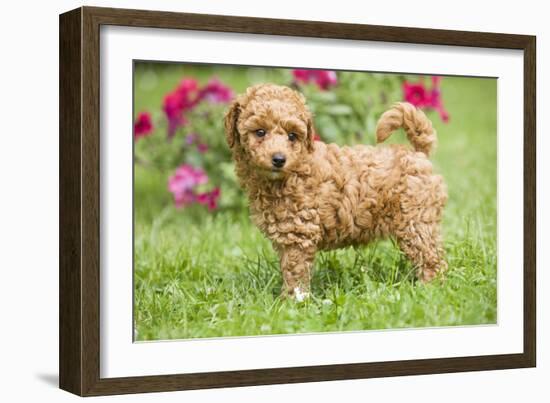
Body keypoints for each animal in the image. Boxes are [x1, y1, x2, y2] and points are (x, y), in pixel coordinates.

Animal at [224, 83, 448, 302]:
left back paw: (429, 290)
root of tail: (417, 153)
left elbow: (295, 271)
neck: (293, 170)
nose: (279, 159)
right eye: (260, 132)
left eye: (292, 136)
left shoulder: (299, 232)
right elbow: (288, 267)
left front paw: (292, 301)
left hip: (416, 221)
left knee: (432, 259)